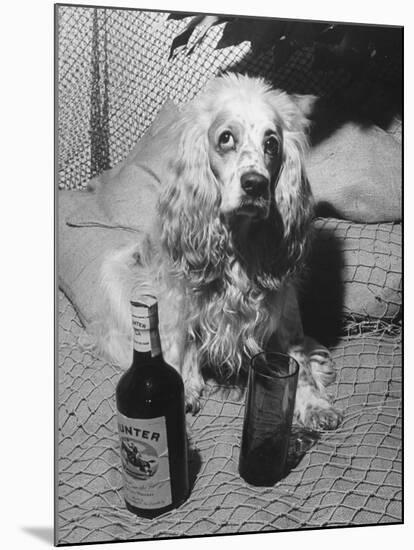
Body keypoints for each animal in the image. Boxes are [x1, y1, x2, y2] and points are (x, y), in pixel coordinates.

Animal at [94, 73, 342, 434]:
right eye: (226, 138)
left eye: (272, 143)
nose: (255, 184)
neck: (239, 240)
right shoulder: (180, 296)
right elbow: (178, 344)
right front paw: (184, 387)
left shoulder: (283, 305)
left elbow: (298, 359)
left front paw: (314, 404)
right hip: (118, 272)